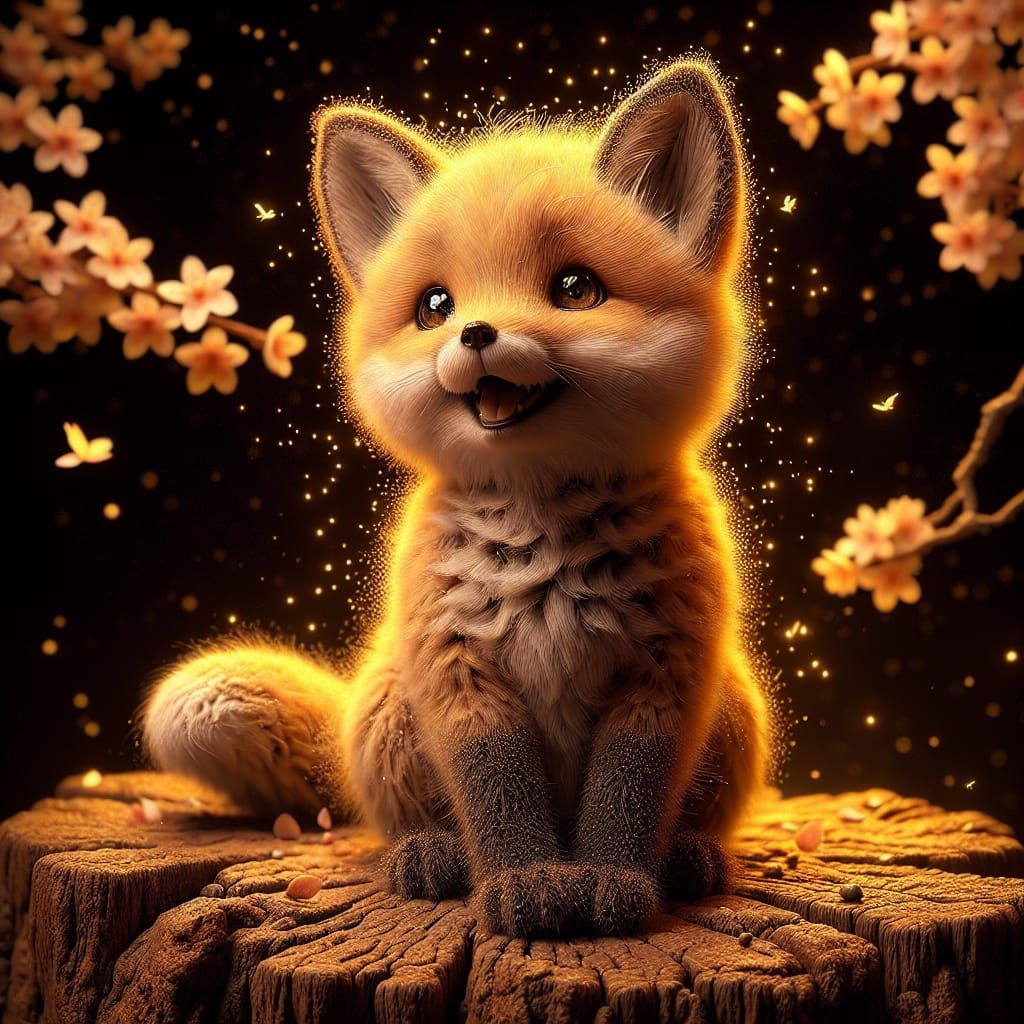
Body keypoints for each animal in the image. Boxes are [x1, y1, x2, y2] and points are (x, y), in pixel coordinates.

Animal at [141, 57, 770, 938]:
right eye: (435, 305)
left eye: (576, 289)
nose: (474, 333)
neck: (544, 543)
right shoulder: (457, 673)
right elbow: (495, 794)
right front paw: (525, 884)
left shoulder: (664, 674)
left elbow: (628, 797)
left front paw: (611, 883)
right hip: (392, 710)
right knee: (405, 819)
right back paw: (431, 856)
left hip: (732, 708)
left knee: (691, 816)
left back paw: (686, 857)